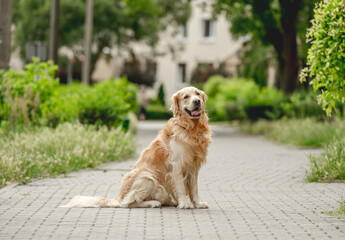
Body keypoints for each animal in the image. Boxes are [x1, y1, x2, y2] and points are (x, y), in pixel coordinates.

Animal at [62, 87, 211, 209]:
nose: (197, 101)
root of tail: (120, 196)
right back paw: (153, 203)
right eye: (186, 97)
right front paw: (185, 204)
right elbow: (180, 187)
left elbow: (194, 189)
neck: (191, 130)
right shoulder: (177, 165)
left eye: (197, 94)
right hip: (148, 176)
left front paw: (198, 203)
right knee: (129, 203)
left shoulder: (193, 167)